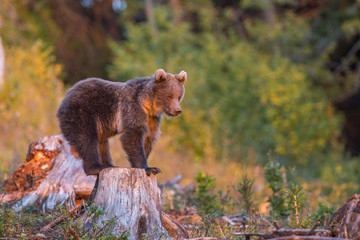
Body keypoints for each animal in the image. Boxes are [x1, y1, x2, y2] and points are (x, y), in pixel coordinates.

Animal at [57, 69, 186, 176]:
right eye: (169, 96)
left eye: (179, 96)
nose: (178, 110)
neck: (147, 104)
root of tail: (66, 96)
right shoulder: (132, 108)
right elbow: (133, 134)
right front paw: (148, 168)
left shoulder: (152, 118)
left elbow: (149, 137)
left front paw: (150, 166)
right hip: (81, 112)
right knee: (86, 139)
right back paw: (96, 167)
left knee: (101, 143)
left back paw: (110, 165)